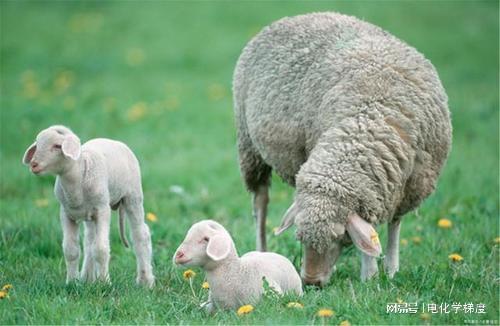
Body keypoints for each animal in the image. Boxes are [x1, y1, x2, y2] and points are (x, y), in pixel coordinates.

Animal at [22, 125, 154, 288]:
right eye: (37, 144)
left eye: (57, 146)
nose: (33, 164)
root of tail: (115, 141)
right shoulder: (66, 213)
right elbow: (71, 250)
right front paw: (72, 282)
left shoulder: (102, 209)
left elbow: (101, 249)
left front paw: (104, 282)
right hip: (90, 215)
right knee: (90, 240)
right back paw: (87, 277)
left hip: (133, 196)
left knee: (140, 234)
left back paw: (145, 281)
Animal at [234, 12, 454, 286]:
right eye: (299, 236)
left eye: (340, 236)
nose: (311, 282)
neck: (369, 117)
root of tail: (295, 17)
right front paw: (370, 274)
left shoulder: (404, 187)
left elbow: (392, 226)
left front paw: (389, 270)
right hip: (250, 149)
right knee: (260, 204)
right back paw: (262, 251)